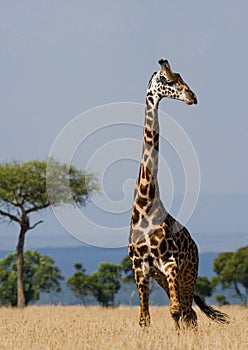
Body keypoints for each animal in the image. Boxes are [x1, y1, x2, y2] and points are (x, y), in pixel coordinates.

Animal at [129, 58, 230, 330]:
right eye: (168, 80)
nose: (192, 96)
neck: (145, 202)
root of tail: (195, 245)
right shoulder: (140, 268)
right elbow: (144, 319)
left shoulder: (170, 264)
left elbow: (174, 312)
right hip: (164, 279)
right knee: (188, 312)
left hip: (187, 274)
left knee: (187, 313)